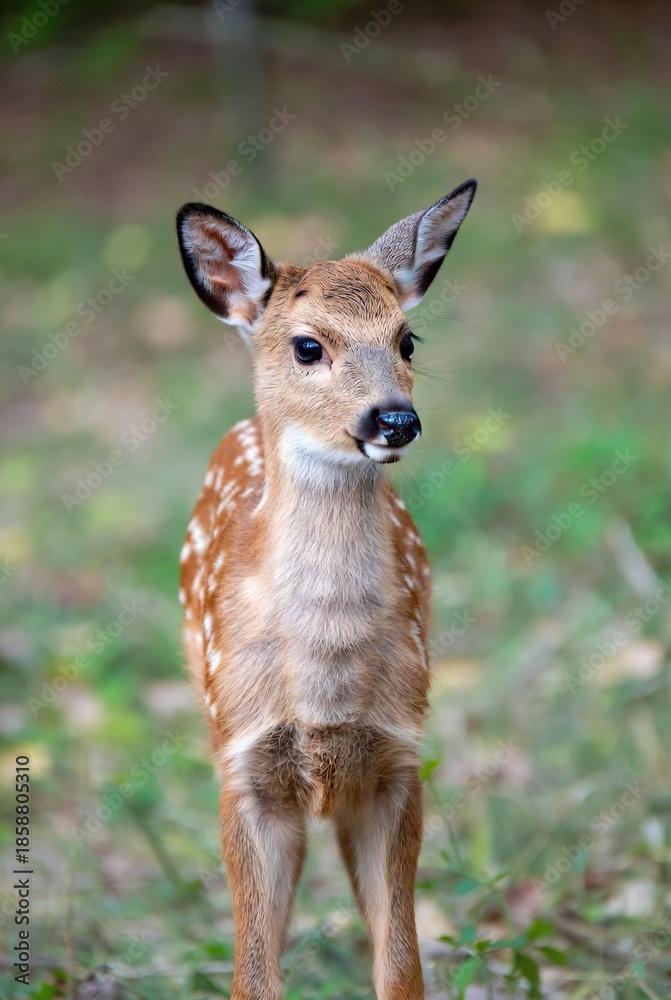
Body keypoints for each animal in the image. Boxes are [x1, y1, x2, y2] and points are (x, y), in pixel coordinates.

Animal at [176, 178, 477, 1000]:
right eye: (308, 345)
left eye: (408, 340)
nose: (394, 419)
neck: (323, 681)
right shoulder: (242, 759)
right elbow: (253, 973)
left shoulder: (398, 754)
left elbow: (400, 967)